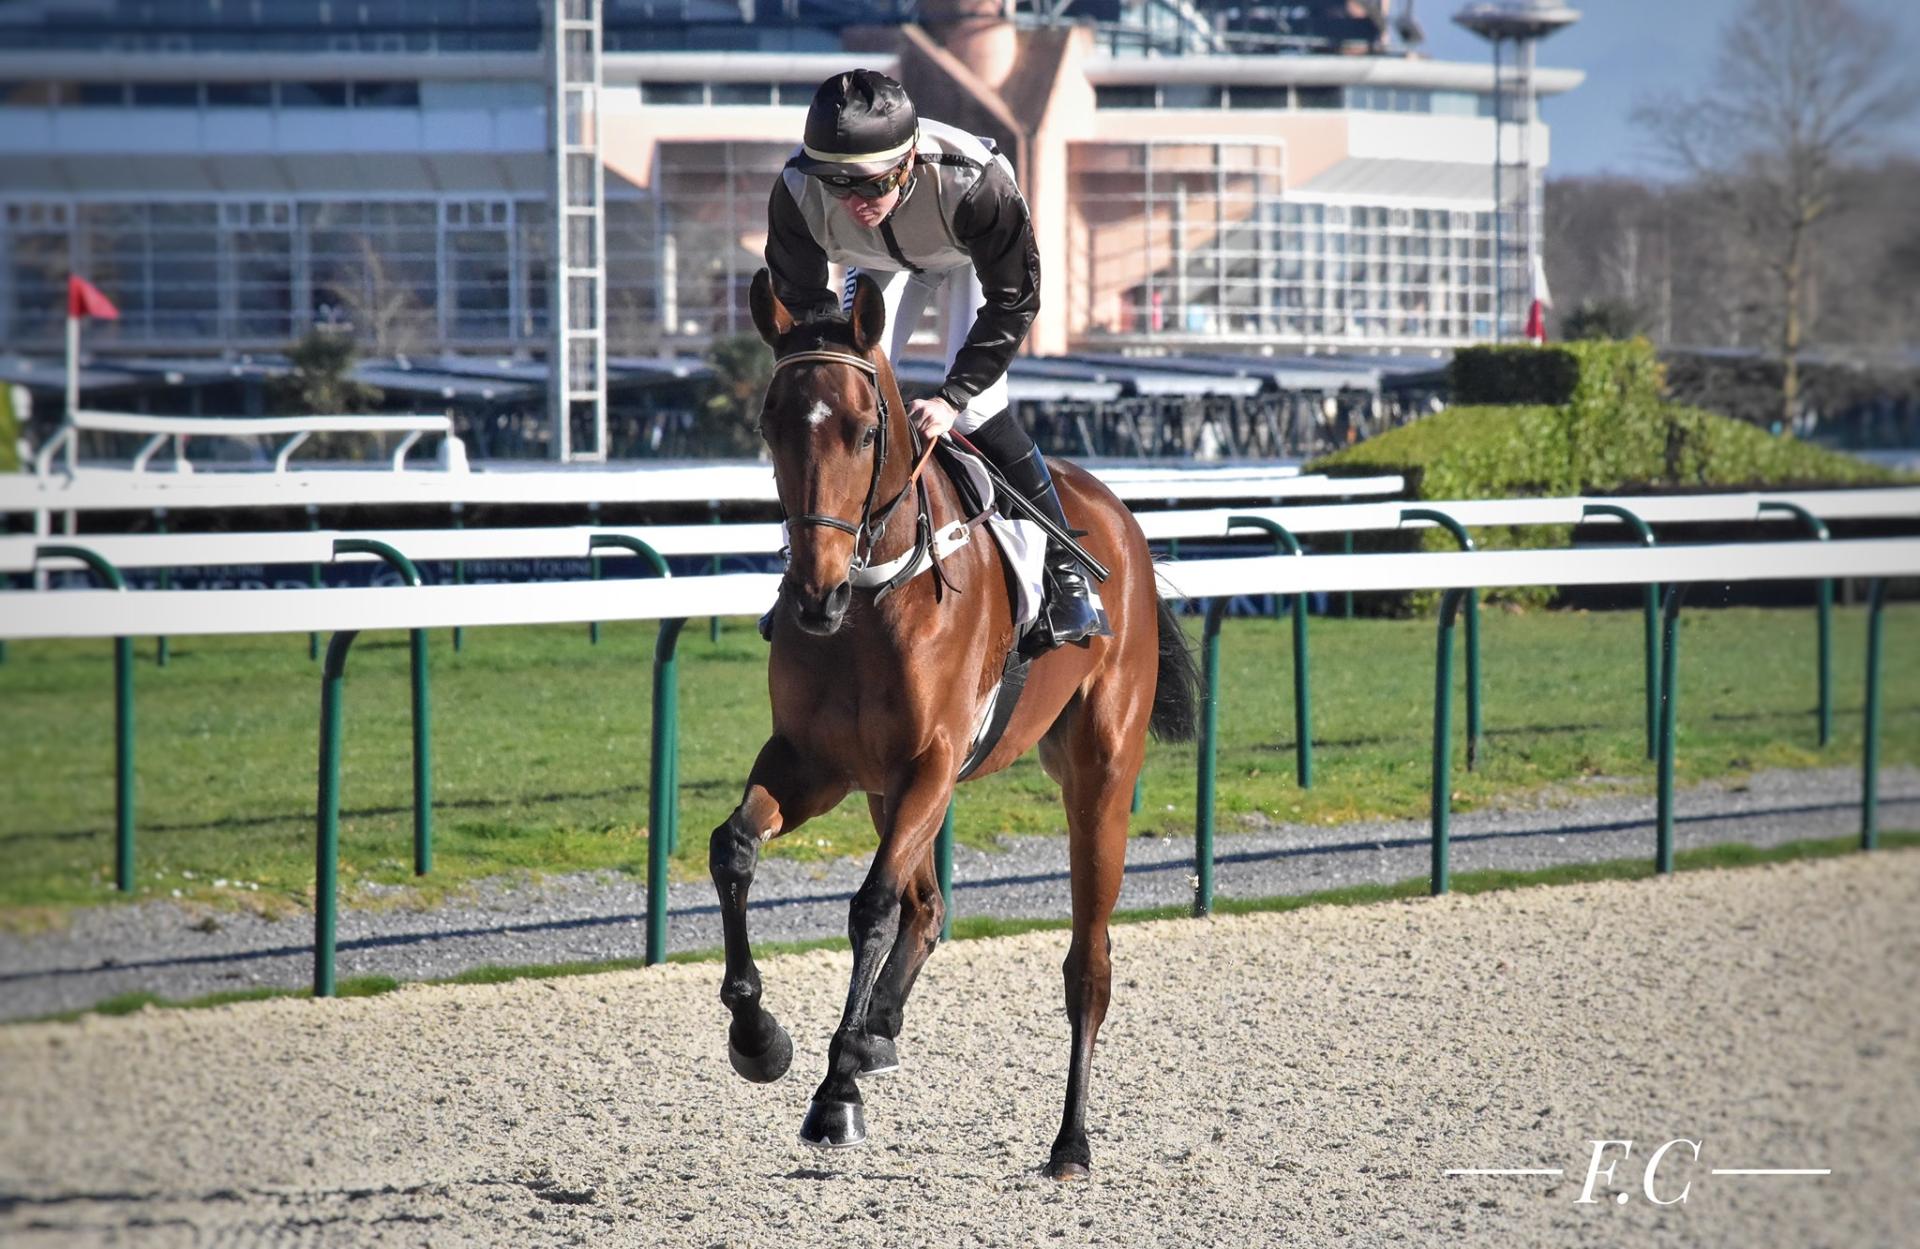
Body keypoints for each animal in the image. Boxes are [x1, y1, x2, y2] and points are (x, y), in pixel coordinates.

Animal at [718, 268, 1198, 1174]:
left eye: (867, 430)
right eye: (768, 423)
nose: (814, 594)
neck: (874, 600)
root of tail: (1119, 518)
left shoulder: (933, 762)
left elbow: (871, 906)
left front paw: (834, 1091)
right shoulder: (814, 761)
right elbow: (734, 847)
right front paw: (758, 1034)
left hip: (1098, 774)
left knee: (1088, 963)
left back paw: (1070, 1138)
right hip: (886, 788)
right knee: (930, 906)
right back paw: (877, 1032)